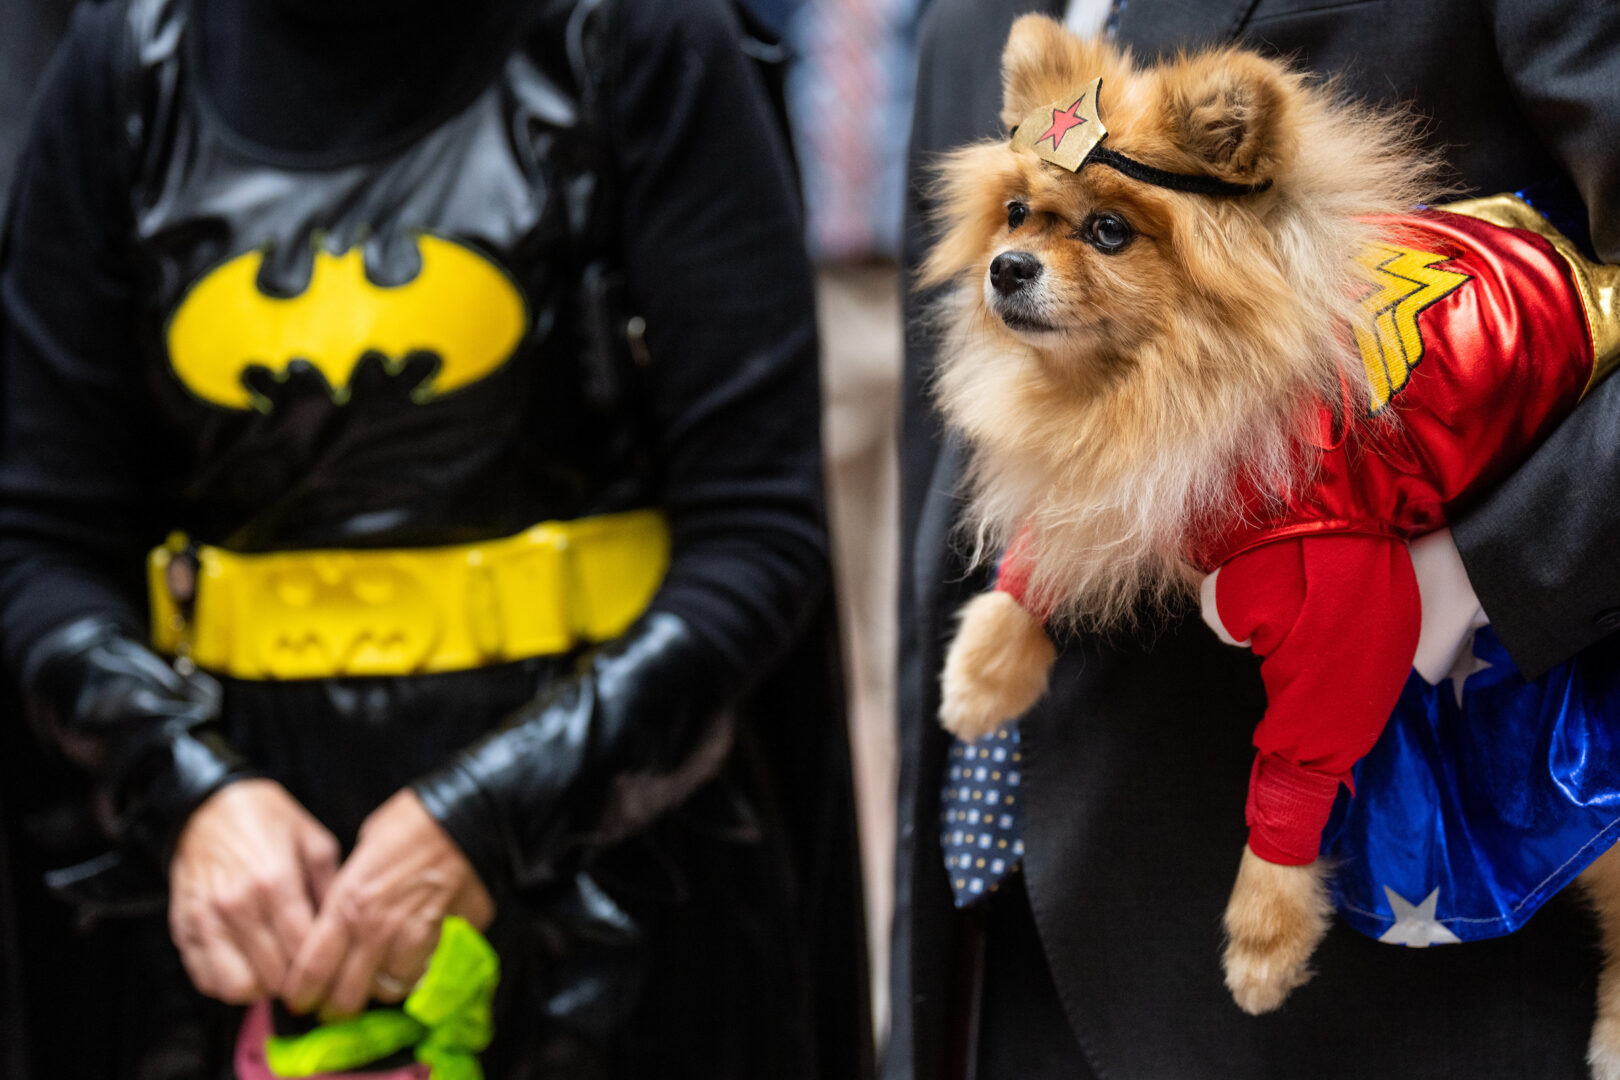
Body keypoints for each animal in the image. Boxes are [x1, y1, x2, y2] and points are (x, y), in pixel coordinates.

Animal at [926, 14, 1620, 1075]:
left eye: (1109, 232)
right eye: (1014, 214)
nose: (1007, 269)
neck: (1162, 372)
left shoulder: (1348, 598)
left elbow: (1294, 771)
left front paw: (1264, 938)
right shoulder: (1128, 478)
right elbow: (1057, 533)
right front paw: (983, 670)